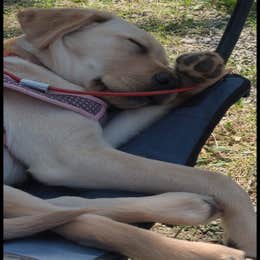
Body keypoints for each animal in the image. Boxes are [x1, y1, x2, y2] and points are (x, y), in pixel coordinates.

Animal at [3, 7, 256, 258]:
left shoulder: (98, 137)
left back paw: (186, 206)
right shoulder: (74, 156)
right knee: (87, 223)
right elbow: (213, 178)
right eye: (136, 44)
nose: (169, 79)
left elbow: (157, 107)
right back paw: (204, 247)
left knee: (65, 204)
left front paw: (196, 76)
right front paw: (247, 229)